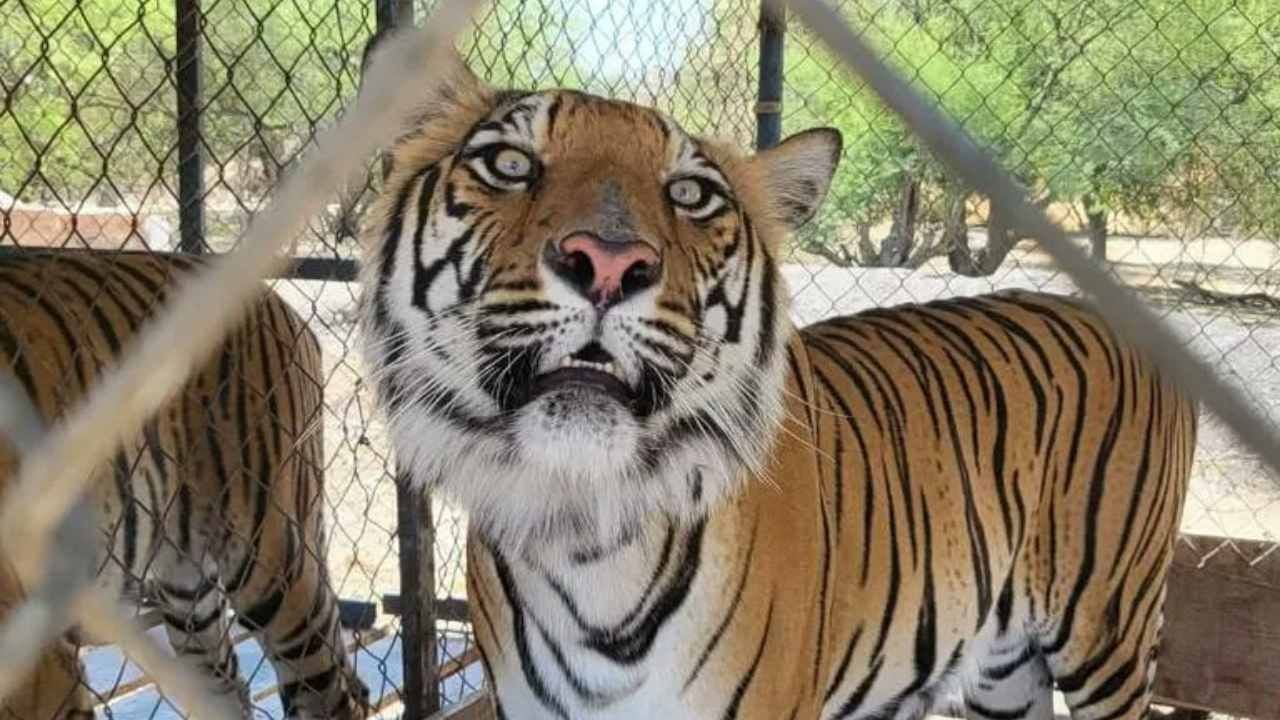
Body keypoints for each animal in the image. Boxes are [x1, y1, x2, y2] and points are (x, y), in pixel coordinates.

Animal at [0, 248, 370, 720]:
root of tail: (279, 304)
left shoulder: (39, 669)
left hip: (271, 562)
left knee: (331, 691)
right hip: (188, 584)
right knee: (230, 687)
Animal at [356, 44, 1198, 720]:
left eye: (690, 195)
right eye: (509, 165)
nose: (608, 263)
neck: (589, 533)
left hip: (1108, 629)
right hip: (1005, 667)